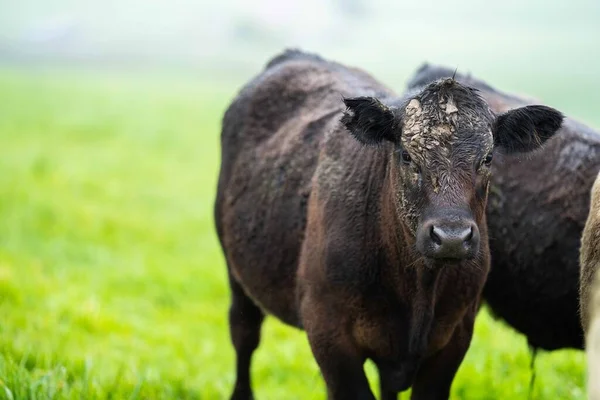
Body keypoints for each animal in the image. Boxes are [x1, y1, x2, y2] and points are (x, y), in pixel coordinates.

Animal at [214, 50, 564, 400]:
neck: (417, 287)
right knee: (244, 335)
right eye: (407, 155)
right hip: (235, 271)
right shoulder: (328, 333)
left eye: (488, 158)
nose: (451, 237)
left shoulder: (455, 335)